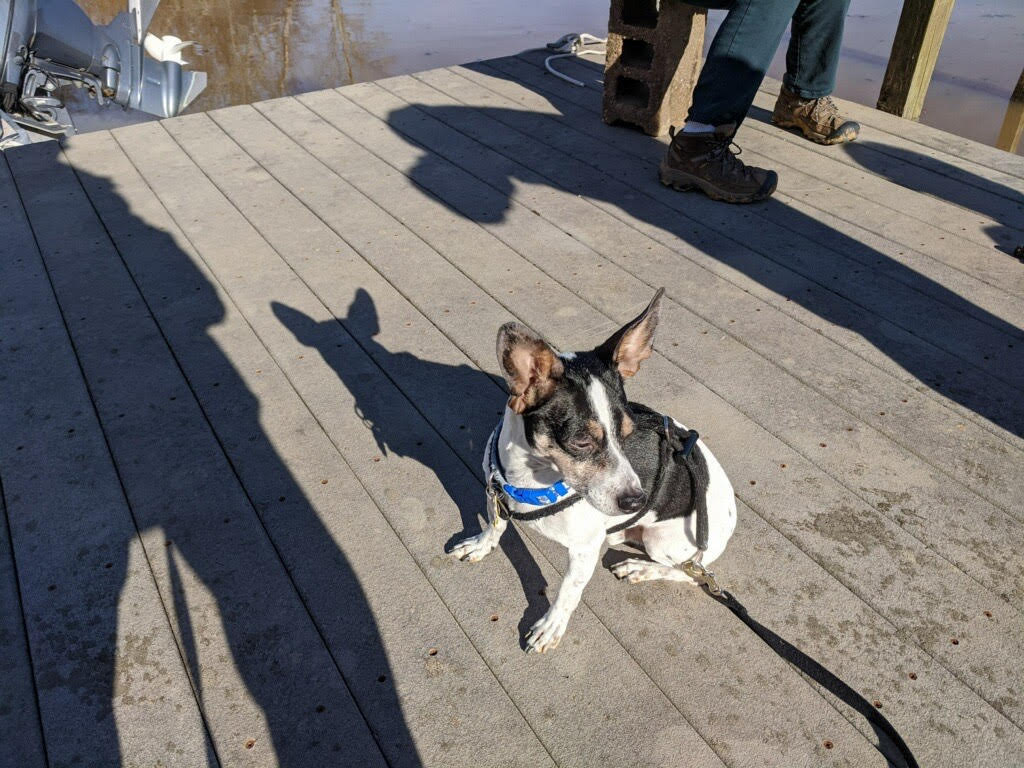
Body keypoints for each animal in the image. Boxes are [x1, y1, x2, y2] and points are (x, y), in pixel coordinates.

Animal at [450, 288, 737, 655]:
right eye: (582, 441)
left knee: (691, 573)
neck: (531, 478)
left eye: (628, 433)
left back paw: (640, 567)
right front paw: (482, 544)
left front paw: (551, 626)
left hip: (665, 543)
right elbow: (496, 524)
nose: (636, 501)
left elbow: (568, 591)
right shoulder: (495, 493)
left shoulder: (583, 550)